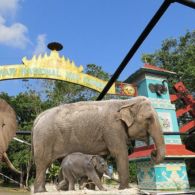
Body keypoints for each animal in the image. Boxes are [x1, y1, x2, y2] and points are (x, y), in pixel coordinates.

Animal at [32, 96, 165, 192]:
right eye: (149, 118)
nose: (152, 153)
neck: (125, 102)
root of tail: (38, 118)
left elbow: (103, 158)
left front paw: (92, 189)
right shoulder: (113, 128)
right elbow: (120, 152)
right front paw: (124, 189)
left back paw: (64, 190)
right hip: (44, 139)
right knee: (43, 164)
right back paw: (41, 191)